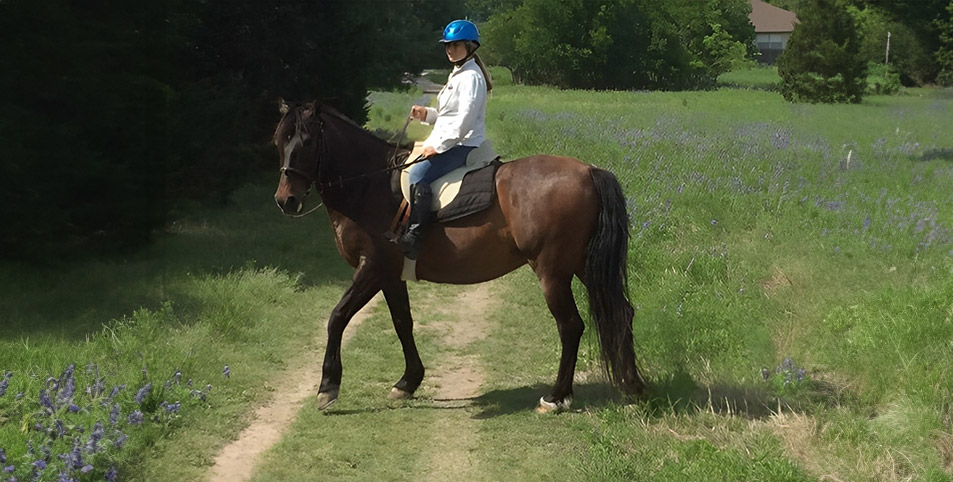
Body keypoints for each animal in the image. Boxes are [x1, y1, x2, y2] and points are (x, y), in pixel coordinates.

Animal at [276, 100, 648, 412]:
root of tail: (589, 171)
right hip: (582, 265)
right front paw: (408, 381)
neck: (372, 186)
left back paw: (556, 397)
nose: (285, 201)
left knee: (570, 326)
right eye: (280, 142)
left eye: (307, 143)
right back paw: (632, 387)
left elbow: (337, 317)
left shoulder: (372, 269)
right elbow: (402, 323)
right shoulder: (390, 275)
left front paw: (328, 387)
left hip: (553, 272)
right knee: (622, 313)